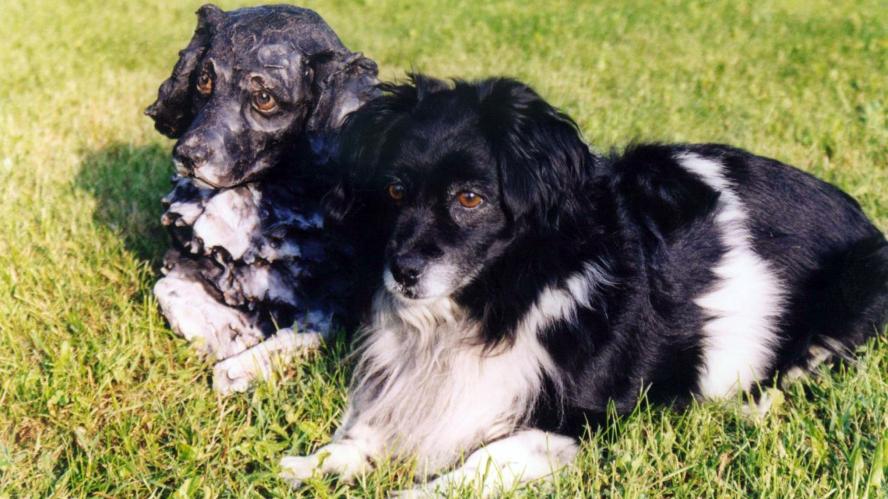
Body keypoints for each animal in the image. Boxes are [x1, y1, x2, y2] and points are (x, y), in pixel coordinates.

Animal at [145, 4, 378, 394]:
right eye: (204, 81)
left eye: (264, 98)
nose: (187, 155)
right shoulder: (184, 260)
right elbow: (165, 289)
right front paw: (227, 331)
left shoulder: (334, 305)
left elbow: (296, 337)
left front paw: (239, 367)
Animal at [280, 76, 884, 494]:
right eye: (395, 192)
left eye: (470, 198)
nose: (402, 270)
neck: (497, 300)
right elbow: (365, 432)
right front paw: (313, 465)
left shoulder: (578, 422)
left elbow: (483, 460)